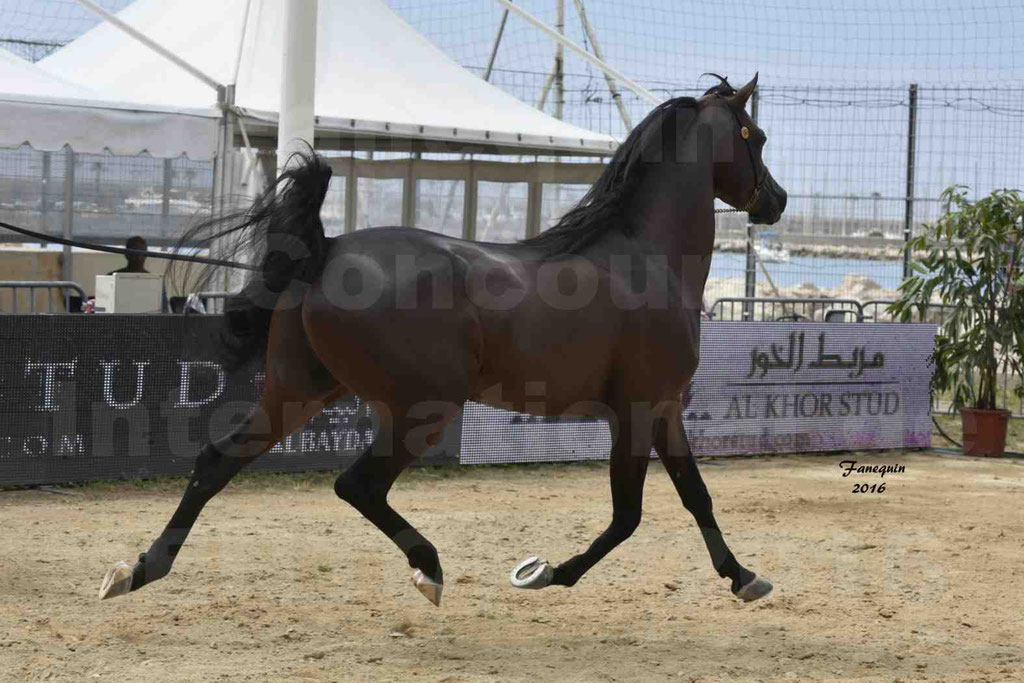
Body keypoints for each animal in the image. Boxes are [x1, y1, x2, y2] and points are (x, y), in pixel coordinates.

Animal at [101, 73, 790, 610]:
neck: (644, 258)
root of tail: (325, 250)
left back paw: (137, 570)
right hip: (420, 410)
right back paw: (428, 570)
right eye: (755, 137)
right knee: (357, 486)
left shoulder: (665, 409)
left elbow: (696, 496)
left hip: (300, 392)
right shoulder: (638, 409)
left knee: (217, 461)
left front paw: (744, 577)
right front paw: (546, 575)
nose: (778, 201)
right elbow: (629, 516)